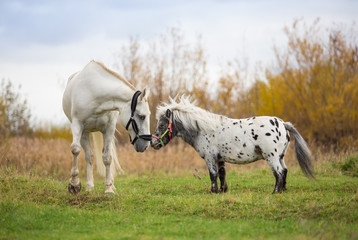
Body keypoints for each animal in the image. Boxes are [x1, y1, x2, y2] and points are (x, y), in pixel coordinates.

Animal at [62, 61, 150, 194]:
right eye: (142, 116)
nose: (145, 146)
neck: (94, 93)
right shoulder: (78, 125)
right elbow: (75, 150)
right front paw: (74, 184)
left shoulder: (109, 128)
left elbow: (107, 157)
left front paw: (109, 188)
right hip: (85, 132)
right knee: (89, 156)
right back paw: (89, 186)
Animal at [150, 95, 314, 193]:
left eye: (162, 125)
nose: (153, 142)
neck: (204, 129)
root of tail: (282, 124)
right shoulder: (220, 158)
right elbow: (222, 174)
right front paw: (223, 190)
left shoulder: (210, 158)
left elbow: (213, 174)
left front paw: (213, 191)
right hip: (280, 157)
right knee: (284, 171)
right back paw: (282, 191)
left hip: (272, 157)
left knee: (278, 173)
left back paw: (275, 192)